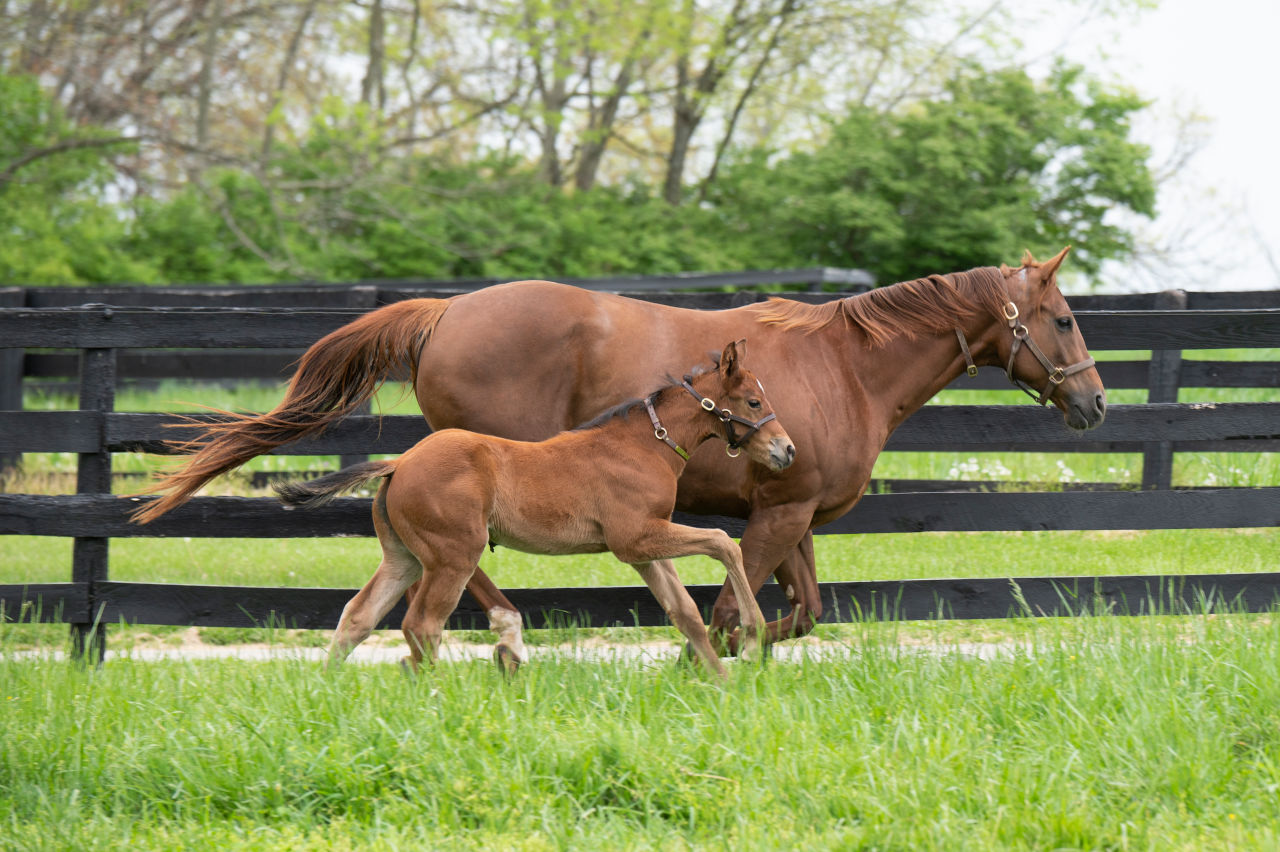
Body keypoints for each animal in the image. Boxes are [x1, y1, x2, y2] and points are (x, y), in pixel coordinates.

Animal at [272, 340, 788, 675]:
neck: (645, 445)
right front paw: (753, 637)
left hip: (403, 557)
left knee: (358, 617)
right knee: (422, 625)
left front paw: (721, 682)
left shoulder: (645, 548)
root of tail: (399, 462)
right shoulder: (635, 537)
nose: (787, 450)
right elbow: (724, 543)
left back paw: (327, 692)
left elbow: (685, 613)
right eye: (753, 400)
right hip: (452, 555)